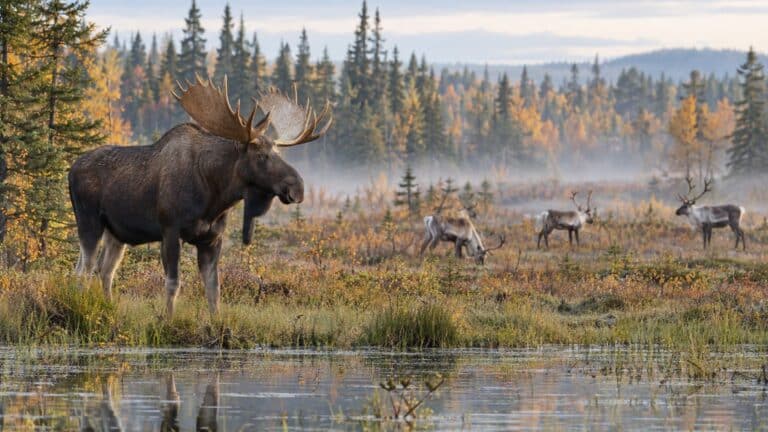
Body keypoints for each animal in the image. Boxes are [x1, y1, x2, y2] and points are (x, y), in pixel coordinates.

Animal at [68, 75, 332, 318]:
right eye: (261, 156)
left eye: (278, 152)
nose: (297, 187)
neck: (214, 198)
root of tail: (70, 170)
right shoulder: (170, 230)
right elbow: (173, 283)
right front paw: (167, 320)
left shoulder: (212, 238)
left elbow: (214, 289)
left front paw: (216, 323)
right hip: (89, 222)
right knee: (84, 269)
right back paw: (81, 307)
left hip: (116, 233)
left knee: (104, 270)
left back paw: (109, 307)